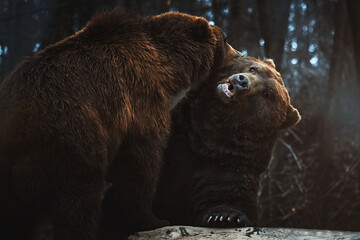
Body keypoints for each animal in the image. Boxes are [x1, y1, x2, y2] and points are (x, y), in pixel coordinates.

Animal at [0, 7, 242, 240]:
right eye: (225, 38)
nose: (239, 53)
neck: (169, 68)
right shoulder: (139, 96)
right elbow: (140, 162)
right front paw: (153, 219)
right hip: (70, 137)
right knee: (79, 196)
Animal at [153, 55, 300, 228]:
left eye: (267, 93)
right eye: (253, 68)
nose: (242, 81)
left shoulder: (232, 164)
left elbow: (223, 196)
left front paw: (224, 216)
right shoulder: (180, 135)